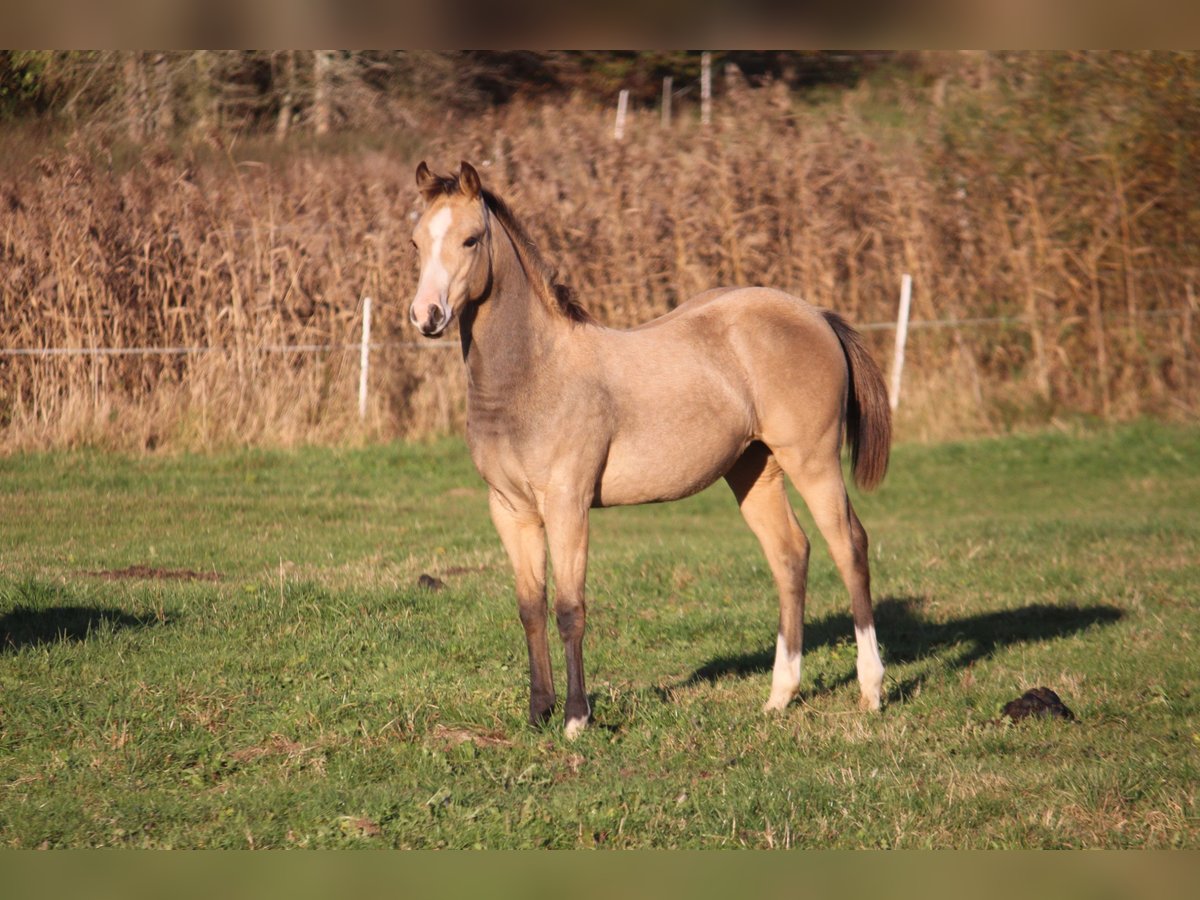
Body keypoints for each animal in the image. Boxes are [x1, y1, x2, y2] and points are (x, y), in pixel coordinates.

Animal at [410, 162, 892, 739]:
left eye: (470, 239)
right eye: (415, 242)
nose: (426, 315)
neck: (533, 374)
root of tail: (815, 314)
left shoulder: (567, 505)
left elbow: (569, 608)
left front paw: (575, 719)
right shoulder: (510, 510)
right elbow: (530, 607)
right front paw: (538, 712)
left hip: (813, 461)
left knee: (850, 547)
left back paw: (871, 690)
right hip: (754, 469)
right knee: (789, 555)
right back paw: (779, 697)